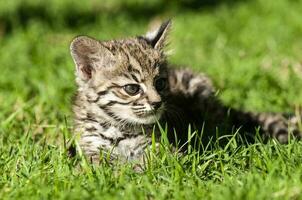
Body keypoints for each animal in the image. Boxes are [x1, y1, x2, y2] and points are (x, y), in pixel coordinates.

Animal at [70, 19, 300, 164]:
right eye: (132, 88)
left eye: (160, 83)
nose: (157, 103)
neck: (117, 126)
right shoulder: (89, 148)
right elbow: (98, 165)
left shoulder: (165, 149)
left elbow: (151, 163)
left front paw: (132, 169)